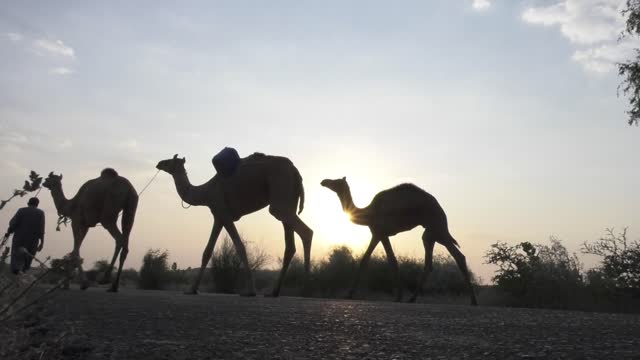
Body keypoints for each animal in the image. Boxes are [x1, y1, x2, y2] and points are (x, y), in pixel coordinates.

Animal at [156, 152, 314, 296]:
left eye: (170, 161)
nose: (159, 163)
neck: (205, 192)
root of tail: (296, 172)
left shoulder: (224, 214)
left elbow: (240, 247)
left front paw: (250, 291)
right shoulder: (218, 217)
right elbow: (207, 251)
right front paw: (192, 290)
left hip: (281, 191)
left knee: (306, 232)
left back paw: (306, 288)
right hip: (288, 200)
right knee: (290, 245)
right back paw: (274, 292)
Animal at [320, 176, 476, 304]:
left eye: (336, 181)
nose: (323, 181)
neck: (367, 213)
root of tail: (441, 209)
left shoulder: (379, 233)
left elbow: (384, 260)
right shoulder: (380, 234)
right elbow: (377, 260)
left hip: (437, 227)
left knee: (458, 257)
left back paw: (473, 300)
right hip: (431, 233)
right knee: (430, 261)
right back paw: (412, 298)